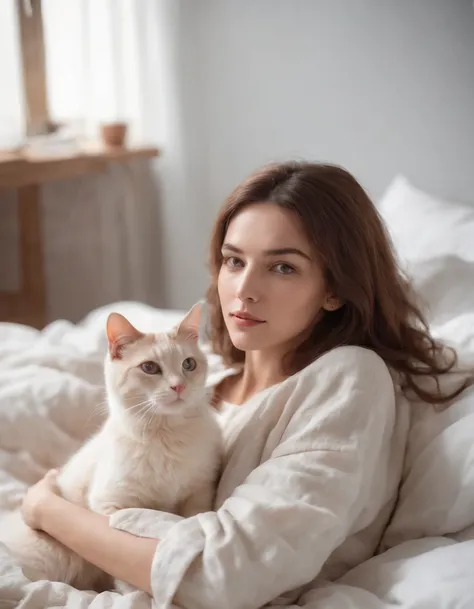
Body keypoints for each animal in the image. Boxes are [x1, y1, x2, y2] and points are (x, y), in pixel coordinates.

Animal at [0, 306, 222, 592]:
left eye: (188, 364)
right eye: (149, 367)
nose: (179, 386)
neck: (167, 435)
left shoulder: (199, 493)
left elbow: (191, 517)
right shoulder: (110, 505)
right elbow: (124, 571)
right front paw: (133, 595)